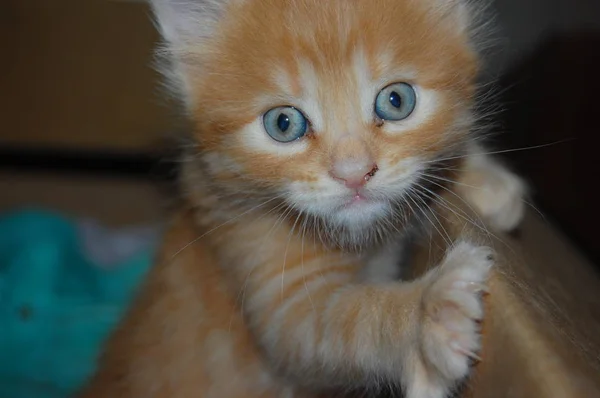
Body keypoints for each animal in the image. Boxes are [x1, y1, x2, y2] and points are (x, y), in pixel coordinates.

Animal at [79, 0, 524, 398]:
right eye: (283, 123)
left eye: (396, 101)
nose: (354, 173)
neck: (362, 242)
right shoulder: (274, 290)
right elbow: (351, 322)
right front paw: (426, 312)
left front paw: (481, 176)